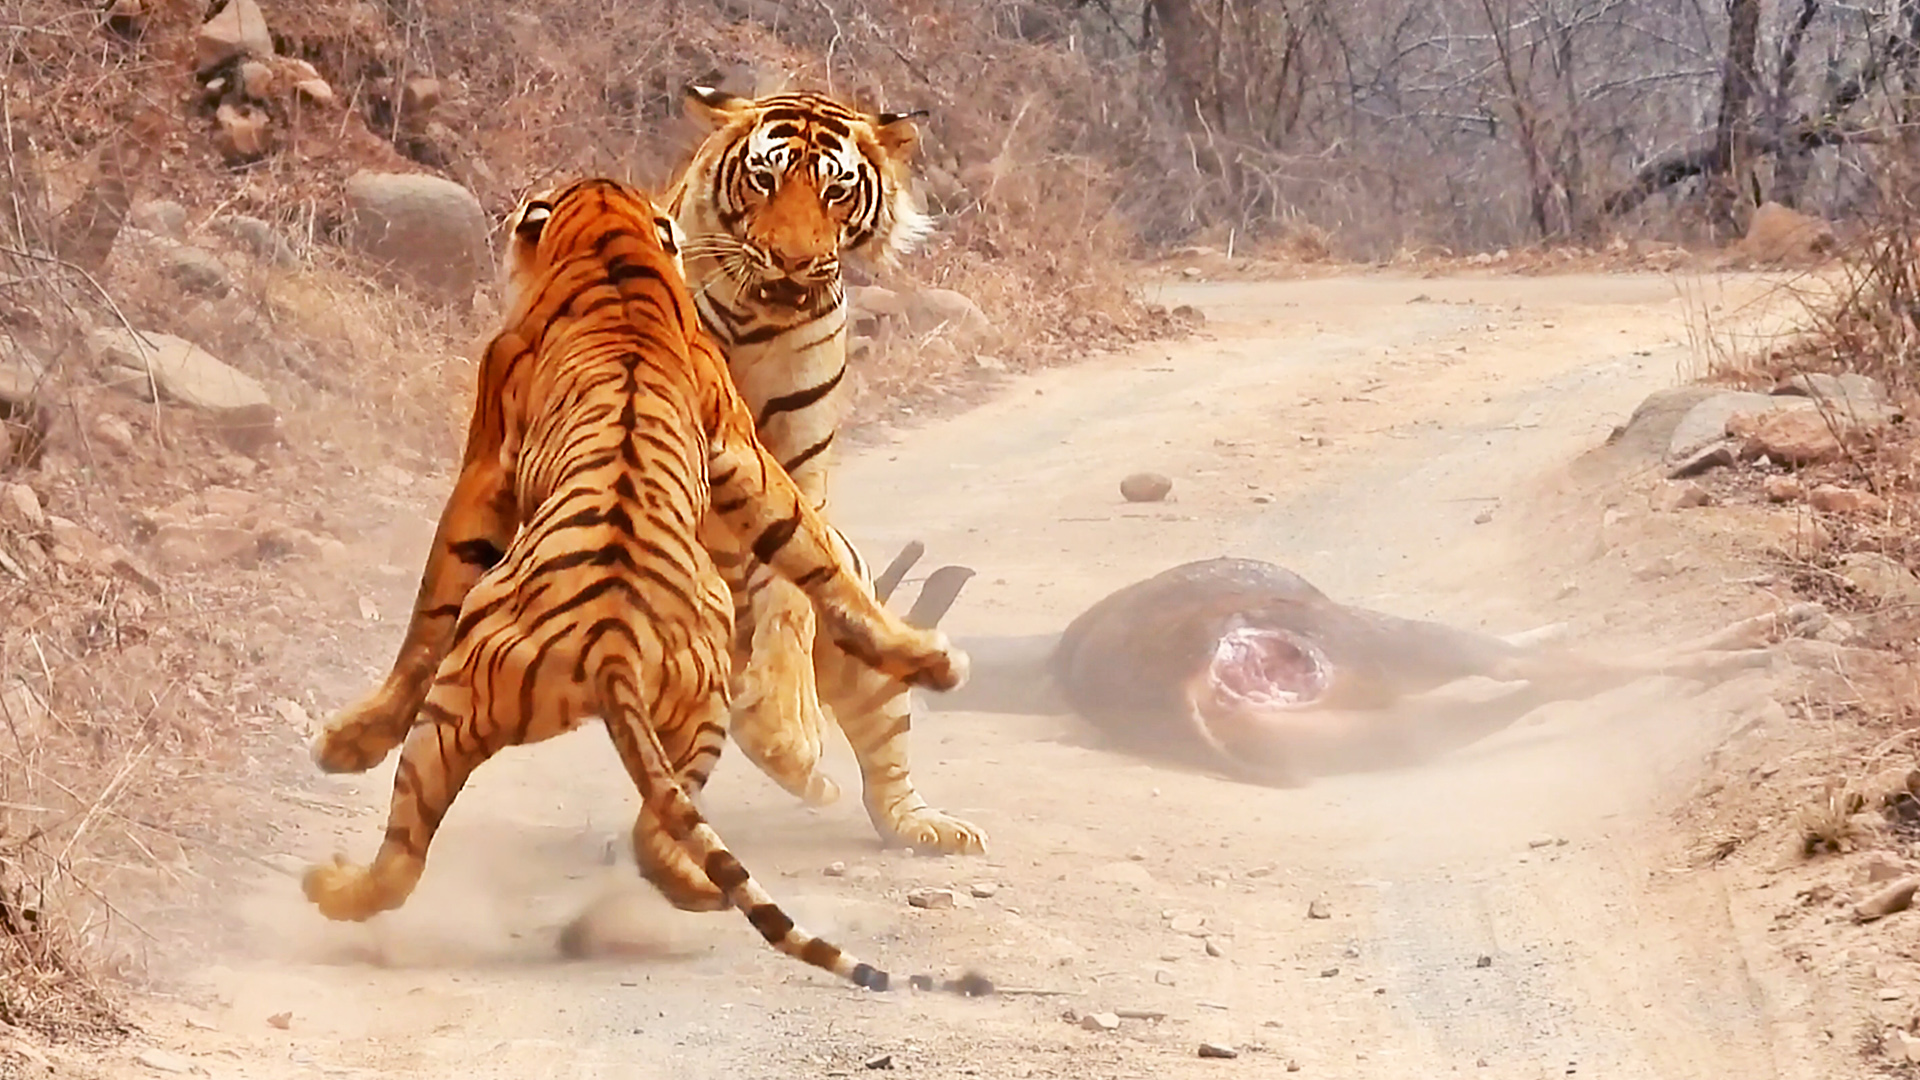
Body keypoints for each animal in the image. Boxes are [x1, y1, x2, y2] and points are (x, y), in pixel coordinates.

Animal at [309, 178, 983, 991]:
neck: (615, 241)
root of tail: (609, 647)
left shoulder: (485, 461)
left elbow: (429, 611)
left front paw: (350, 740)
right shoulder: (739, 446)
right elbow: (808, 545)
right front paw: (929, 659)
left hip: (465, 711)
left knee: (429, 853)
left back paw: (331, 886)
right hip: (660, 714)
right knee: (632, 837)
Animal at [664, 84, 990, 853]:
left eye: (835, 191)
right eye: (764, 179)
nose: (790, 260)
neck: (759, 320)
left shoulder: (800, 465)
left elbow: (790, 597)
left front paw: (787, 732)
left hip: (873, 678)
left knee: (885, 767)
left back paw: (923, 825)